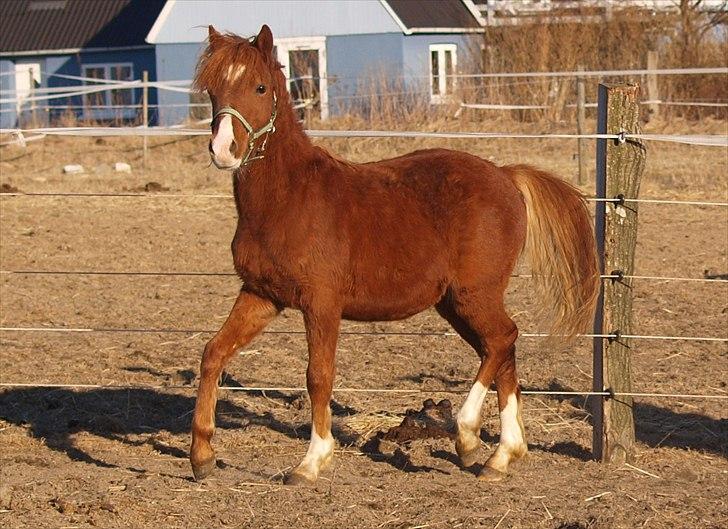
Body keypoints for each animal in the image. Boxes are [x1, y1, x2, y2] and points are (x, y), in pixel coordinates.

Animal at [189, 26, 596, 484]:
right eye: (213, 90)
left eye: (259, 87)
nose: (224, 149)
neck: (288, 198)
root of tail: (507, 176)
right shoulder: (261, 296)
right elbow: (213, 353)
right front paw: (202, 456)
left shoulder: (322, 304)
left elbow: (318, 377)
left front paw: (312, 462)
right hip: (456, 302)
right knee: (501, 350)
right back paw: (501, 455)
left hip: (474, 293)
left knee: (501, 340)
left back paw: (468, 436)